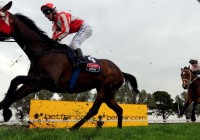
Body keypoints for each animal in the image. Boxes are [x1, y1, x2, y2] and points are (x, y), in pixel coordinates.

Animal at [0, 1, 139, 130]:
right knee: (119, 109)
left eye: (0, 17)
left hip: (104, 89)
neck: (43, 51)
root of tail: (120, 71)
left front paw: (6, 113)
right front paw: (6, 110)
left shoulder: (48, 80)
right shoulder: (34, 84)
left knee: (94, 110)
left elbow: (16, 79)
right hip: (108, 93)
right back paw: (119, 129)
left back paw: (73, 128)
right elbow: (14, 92)